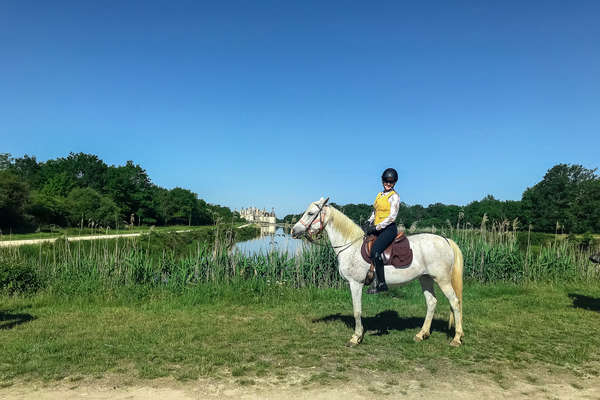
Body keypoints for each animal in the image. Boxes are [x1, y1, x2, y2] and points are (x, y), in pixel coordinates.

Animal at [290, 197, 464, 346]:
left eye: (311, 213)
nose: (293, 230)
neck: (350, 246)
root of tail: (446, 240)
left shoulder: (355, 284)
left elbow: (357, 311)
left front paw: (356, 337)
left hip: (442, 280)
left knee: (455, 303)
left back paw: (456, 338)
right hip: (425, 278)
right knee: (431, 303)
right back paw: (422, 334)